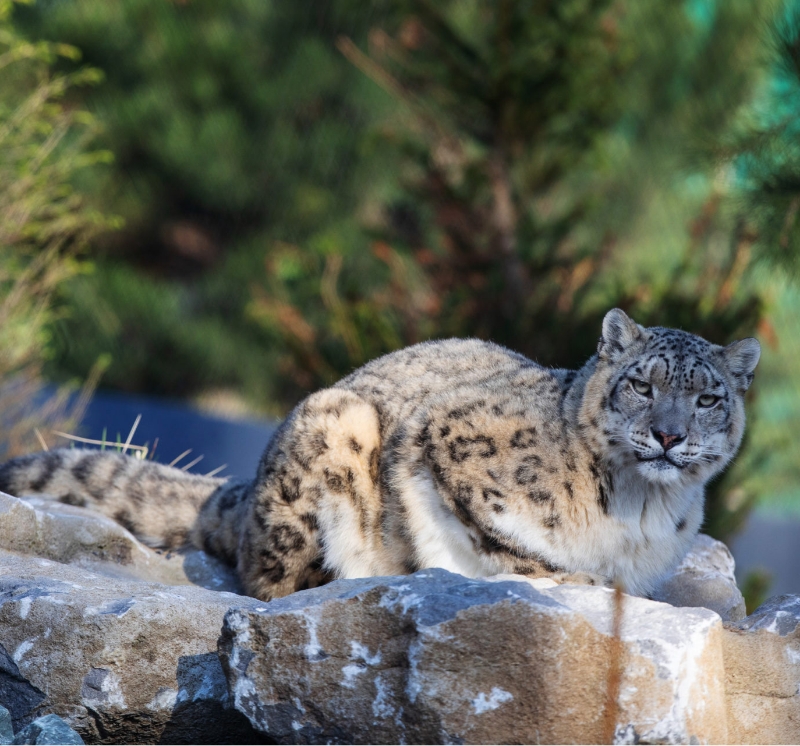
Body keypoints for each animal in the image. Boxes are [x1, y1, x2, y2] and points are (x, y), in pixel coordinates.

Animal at [0, 308, 764, 600]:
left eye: (707, 397)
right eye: (642, 384)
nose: (668, 436)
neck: (641, 507)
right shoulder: (450, 443)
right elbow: (497, 539)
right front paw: (566, 576)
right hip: (333, 431)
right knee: (266, 580)